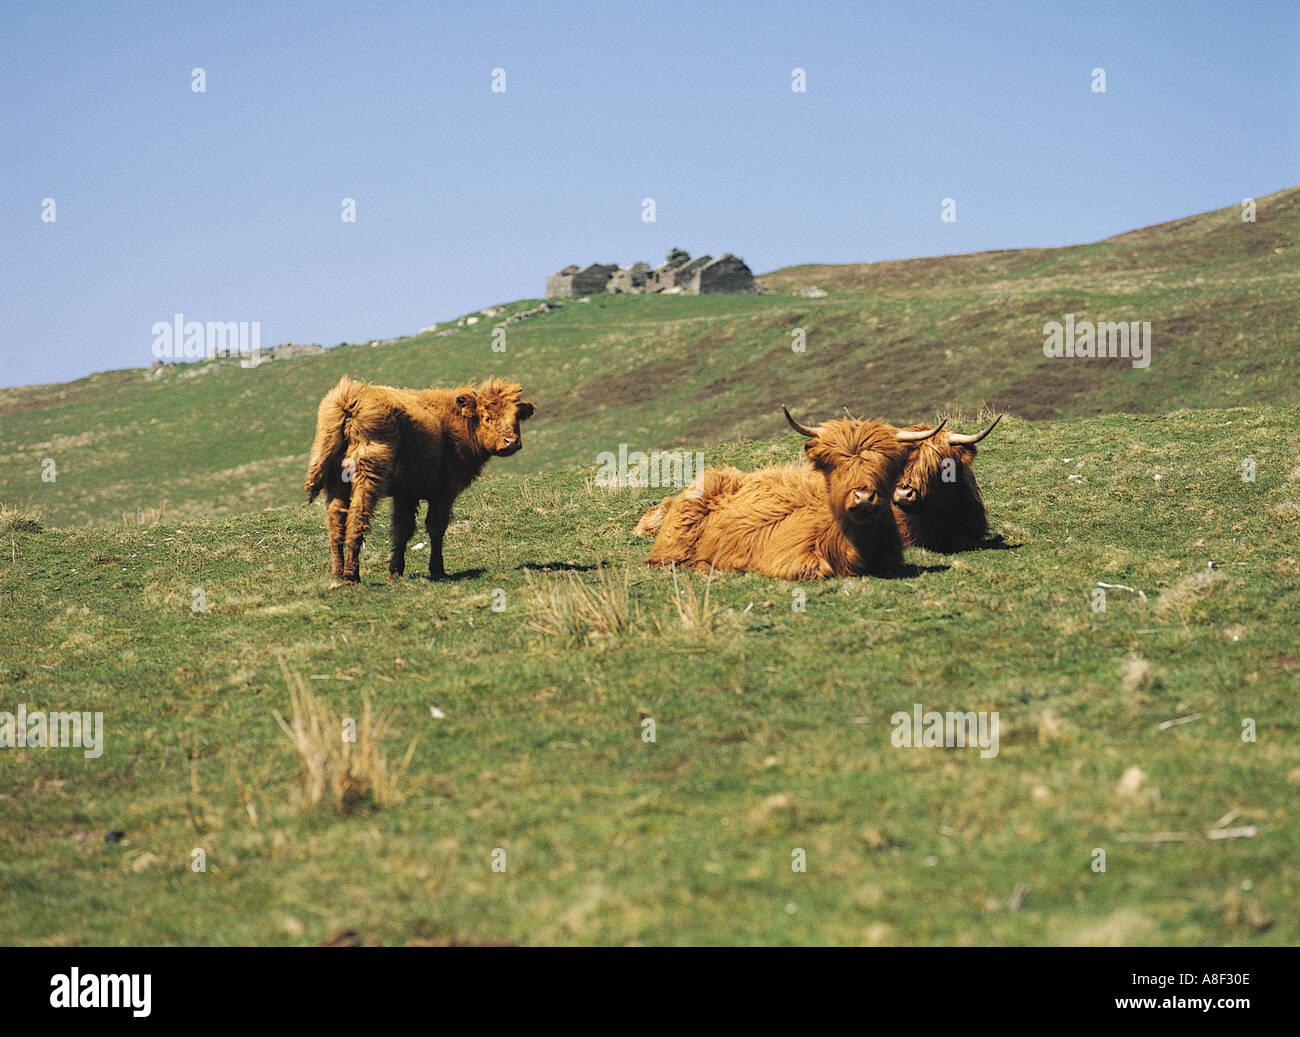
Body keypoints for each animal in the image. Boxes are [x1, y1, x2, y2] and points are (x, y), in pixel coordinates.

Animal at [305, 375, 535, 585]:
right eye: (487, 417)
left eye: (516, 417)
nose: (511, 441)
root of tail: (349, 395)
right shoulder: (445, 490)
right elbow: (435, 527)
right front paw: (437, 570)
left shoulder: (406, 492)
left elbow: (401, 530)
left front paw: (395, 572)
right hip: (367, 476)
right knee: (356, 518)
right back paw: (351, 576)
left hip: (334, 480)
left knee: (336, 522)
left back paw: (337, 573)